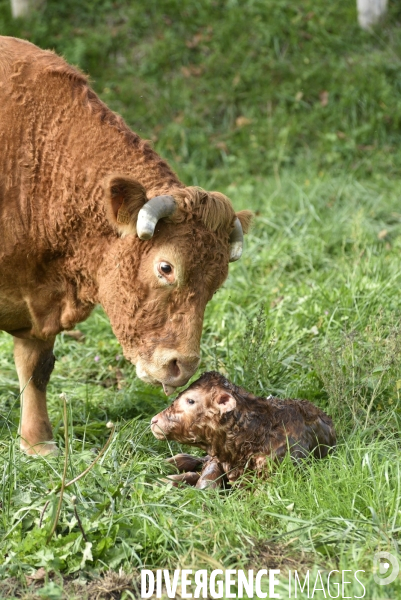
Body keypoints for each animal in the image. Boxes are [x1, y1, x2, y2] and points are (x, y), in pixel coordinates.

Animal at [0, 37, 250, 458]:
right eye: (166, 267)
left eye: (216, 283)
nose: (182, 366)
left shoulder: (38, 303)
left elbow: (35, 369)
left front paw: (37, 443)